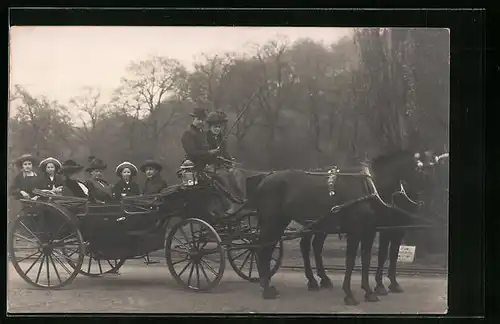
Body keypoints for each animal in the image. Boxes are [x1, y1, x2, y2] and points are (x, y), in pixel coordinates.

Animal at [252, 151, 432, 306]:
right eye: (419, 167)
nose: (420, 200)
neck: (369, 187)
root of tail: (265, 178)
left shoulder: (372, 231)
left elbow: (369, 259)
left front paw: (370, 291)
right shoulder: (358, 231)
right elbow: (352, 262)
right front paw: (351, 294)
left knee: (296, 247)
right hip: (273, 223)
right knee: (264, 250)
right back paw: (267, 287)